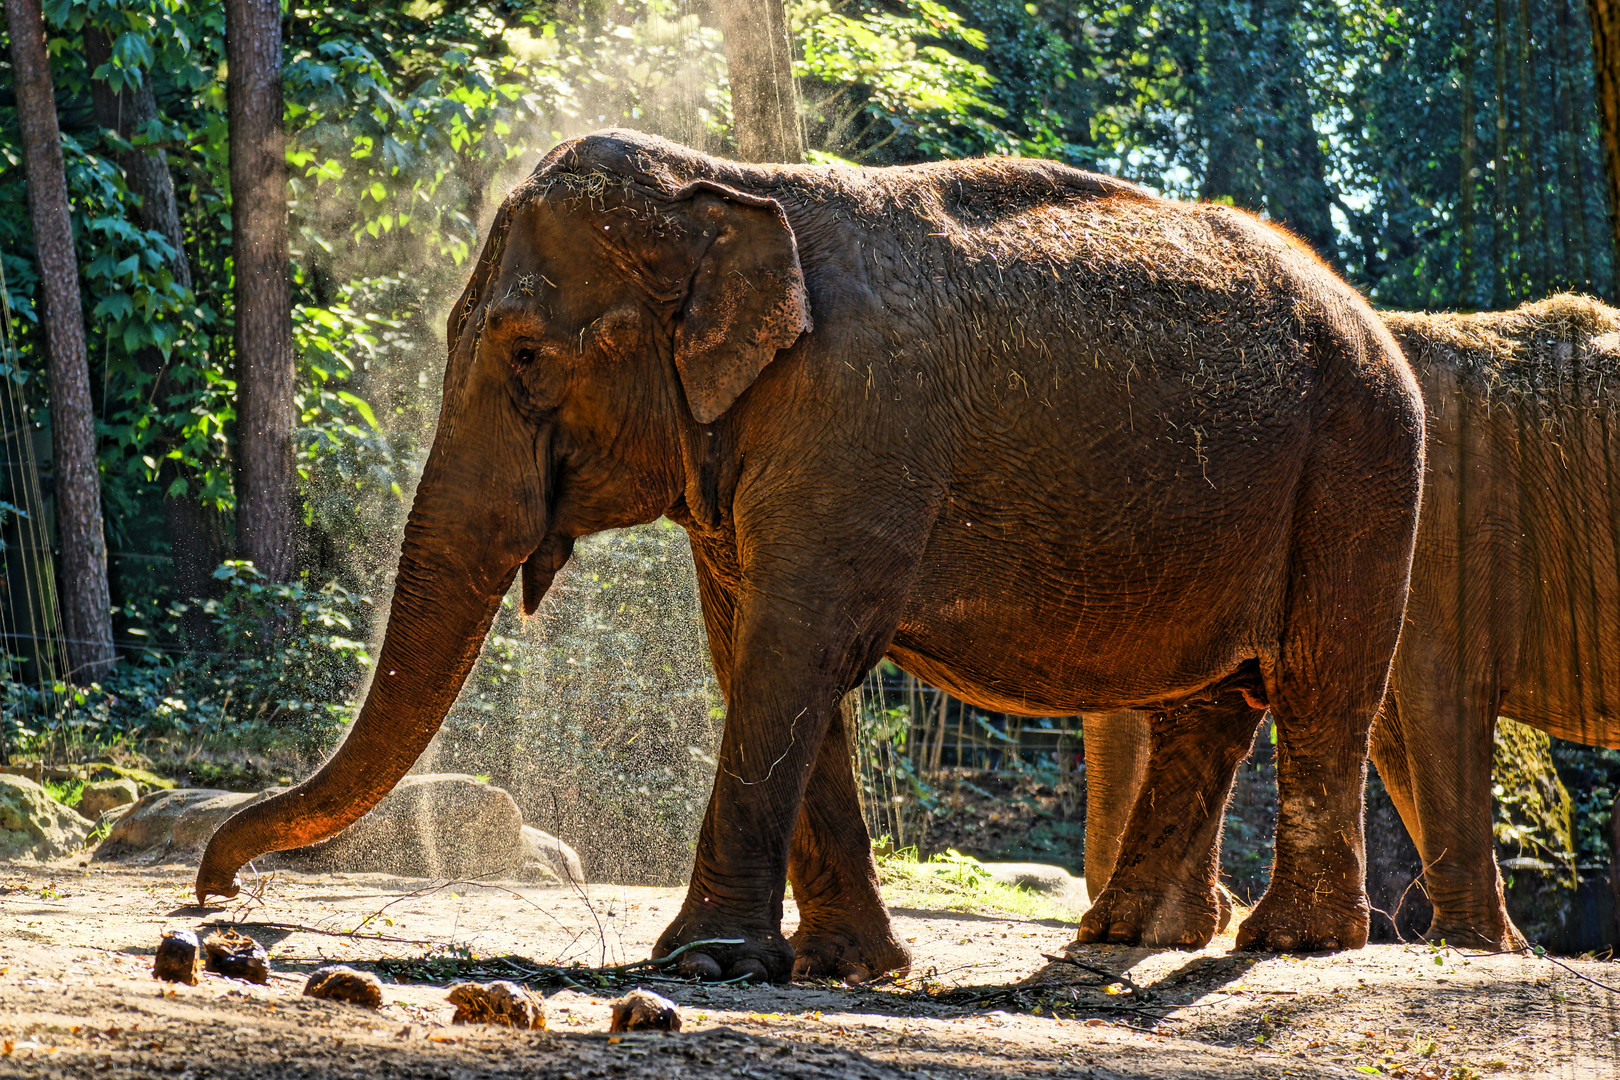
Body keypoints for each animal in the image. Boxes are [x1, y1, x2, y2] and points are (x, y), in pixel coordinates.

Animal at [194, 129, 1425, 983]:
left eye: (527, 351)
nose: (216, 899)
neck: (729, 182)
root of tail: (1371, 316)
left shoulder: (856, 420)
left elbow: (795, 647)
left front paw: (702, 962)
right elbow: (753, 649)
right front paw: (846, 968)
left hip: (1362, 458)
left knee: (1317, 686)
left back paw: (1290, 944)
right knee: (1209, 707)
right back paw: (1126, 932)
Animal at [1081, 295, 1620, 951]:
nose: (1227, 906)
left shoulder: (1448, 526)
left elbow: (1443, 699)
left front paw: (1475, 947)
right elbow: (1396, 735)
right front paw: (1507, 950)